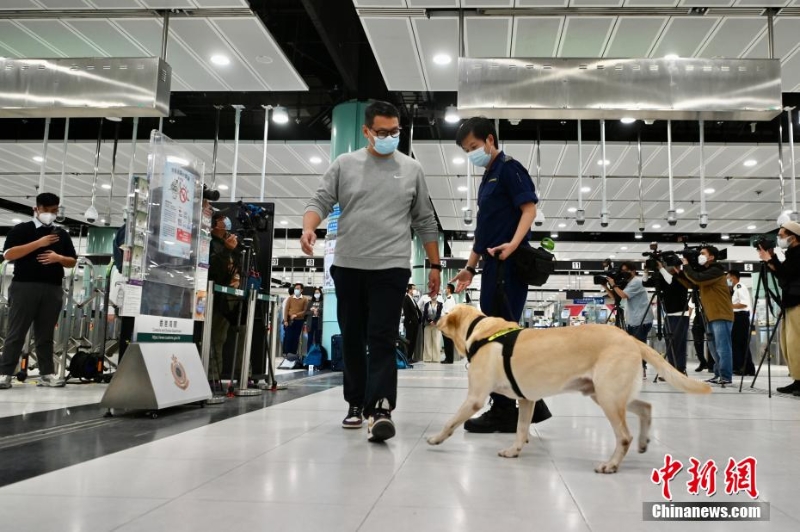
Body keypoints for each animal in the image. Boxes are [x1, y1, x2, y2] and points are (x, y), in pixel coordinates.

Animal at [428, 304, 708, 474]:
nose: (433, 319)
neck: (481, 331)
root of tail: (630, 338)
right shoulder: (527, 400)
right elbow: (520, 429)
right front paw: (514, 450)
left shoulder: (475, 398)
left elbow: (450, 422)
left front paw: (435, 438)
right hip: (607, 394)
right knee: (646, 407)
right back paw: (643, 442)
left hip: (608, 397)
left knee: (624, 436)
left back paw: (611, 464)